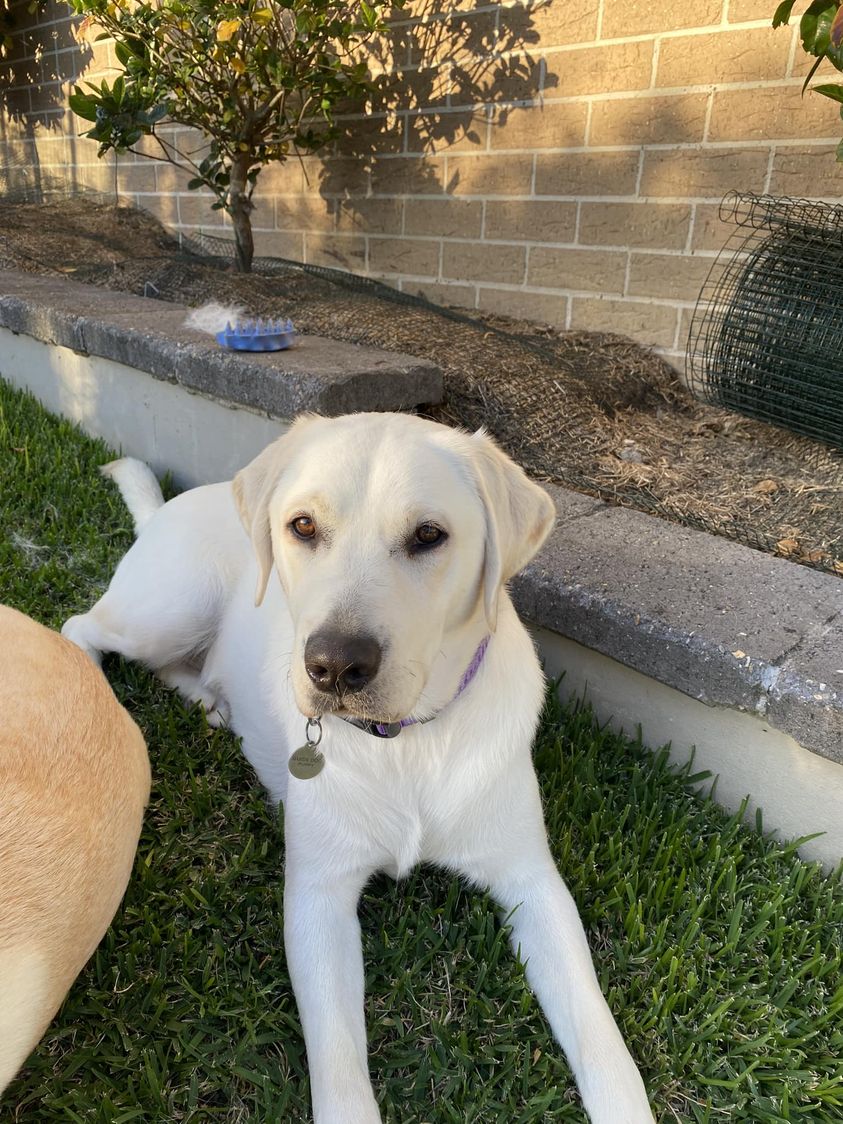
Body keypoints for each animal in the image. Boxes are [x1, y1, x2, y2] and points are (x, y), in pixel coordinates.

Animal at [62, 413, 651, 1124]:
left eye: (428, 535)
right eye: (303, 526)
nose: (334, 665)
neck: (403, 742)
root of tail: (176, 506)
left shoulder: (532, 882)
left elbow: (601, 1037)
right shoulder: (317, 898)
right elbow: (340, 1061)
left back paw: (211, 699)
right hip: (169, 607)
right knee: (82, 626)